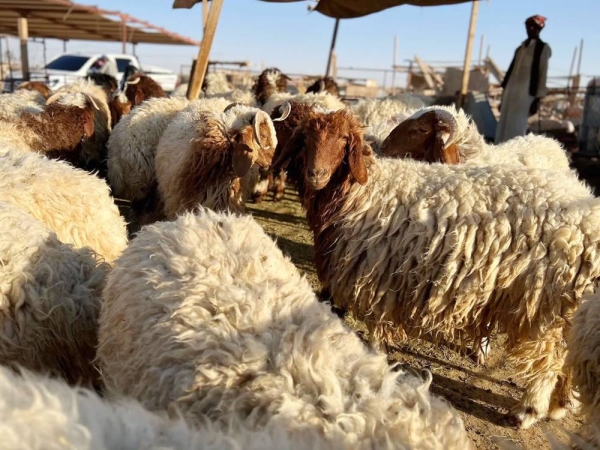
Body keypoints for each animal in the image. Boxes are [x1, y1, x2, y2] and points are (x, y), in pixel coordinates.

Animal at [270, 108, 600, 428]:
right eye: (306, 139)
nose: (316, 174)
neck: (361, 192)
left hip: (544, 309)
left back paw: (527, 412)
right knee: (566, 357)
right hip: (567, 310)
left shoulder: (377, 279)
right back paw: (559, 406)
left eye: (343, 139)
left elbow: (376, 333)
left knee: (548, 361)